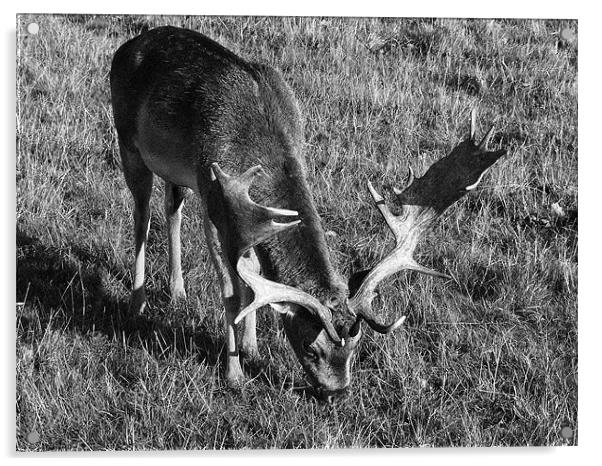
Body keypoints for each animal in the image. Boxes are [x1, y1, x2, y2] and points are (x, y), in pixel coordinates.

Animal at [110, 26, 504, 404]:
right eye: (310, 348)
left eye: (356, 346)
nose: (338, 393)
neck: (261, 147)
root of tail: (128, 46)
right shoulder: (218, 202)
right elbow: (232, 290)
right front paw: (234, 374)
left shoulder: (246, 214)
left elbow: (253, 275)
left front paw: (252, 349)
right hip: (128, 142)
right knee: (141, 216)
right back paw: (136, 303)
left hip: (175, 171)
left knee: (172, 208)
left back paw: (177, 291)